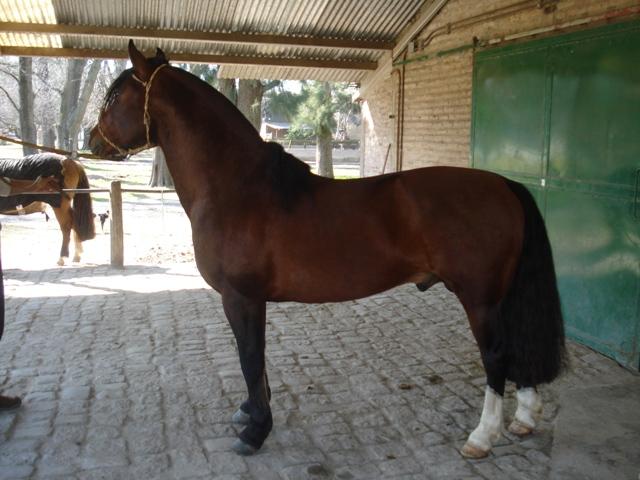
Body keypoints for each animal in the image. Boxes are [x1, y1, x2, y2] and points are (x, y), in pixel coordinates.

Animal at [89, 41, 566, 458]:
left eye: (115, 97)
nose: (92, 140)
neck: (238, 187)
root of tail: (504, 184)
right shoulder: (252, 300)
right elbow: (257, 360)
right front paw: (251, 413)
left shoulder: (241, 297)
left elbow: (249, 357)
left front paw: (255, 431)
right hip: (499, 296)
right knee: (516, 347)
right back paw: (524, 418)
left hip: (479, 298)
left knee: (496, 355)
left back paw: (483, 436)